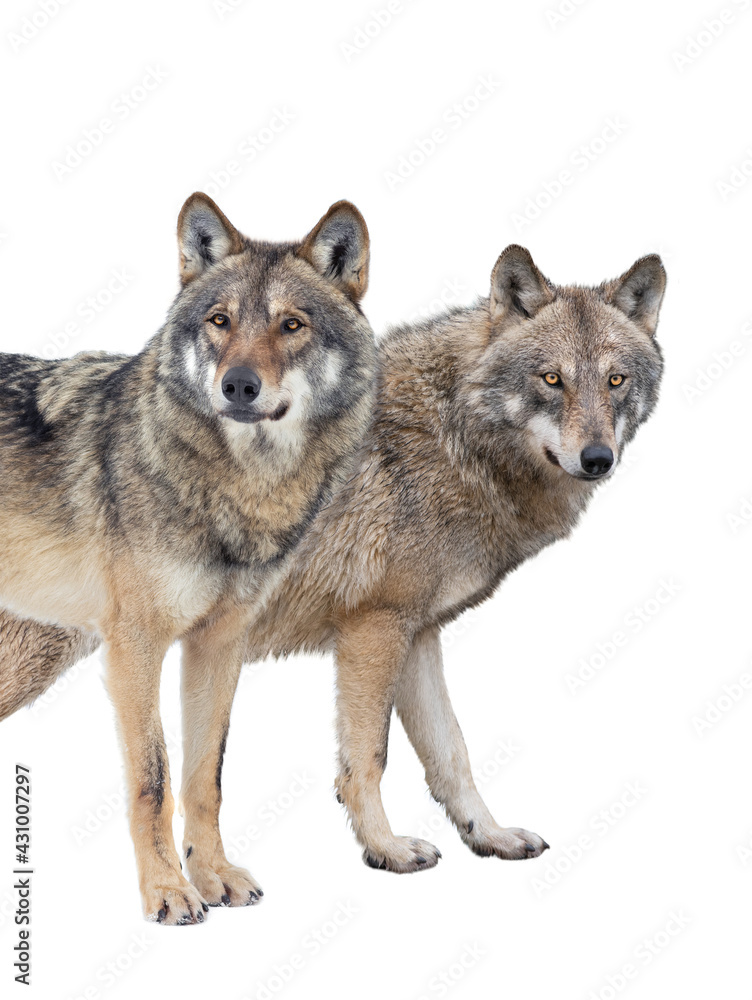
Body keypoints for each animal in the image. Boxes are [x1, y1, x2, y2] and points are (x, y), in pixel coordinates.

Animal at [0, 192, 376, 923]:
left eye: (291, 325)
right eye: (219, 321)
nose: (238, 386)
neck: (239, 493)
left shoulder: (219, 644)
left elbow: (207, 776)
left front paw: (215, 876)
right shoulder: (137, 647)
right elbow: (155, 779)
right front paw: (167, 892)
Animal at [1, 243, 665, 877]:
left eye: (615, 381)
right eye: (551, 379)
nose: (598, 458)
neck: (453, 438)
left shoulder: (418, 633)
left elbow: (451, 753)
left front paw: (490, 836)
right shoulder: (372, 628)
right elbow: (369, 758)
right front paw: (386, 849)